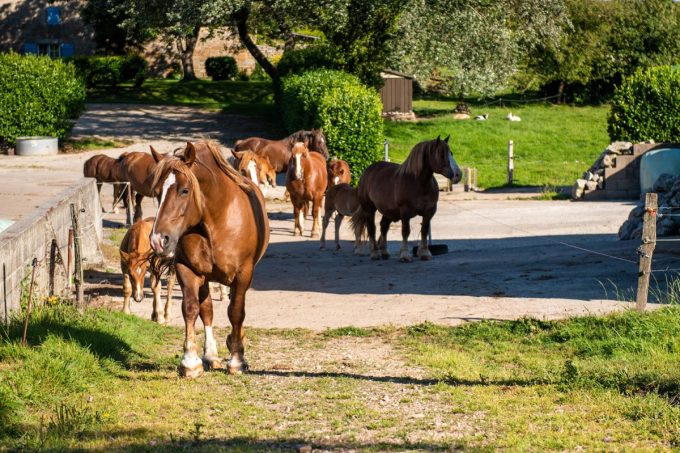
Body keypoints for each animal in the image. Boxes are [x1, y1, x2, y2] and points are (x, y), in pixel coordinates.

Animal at [149, 141, 269, 377]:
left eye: (184, 190)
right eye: (157, 193)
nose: (159, 240)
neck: (216, 221)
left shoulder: (243, 274)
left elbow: (236, 312)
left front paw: (237, 360)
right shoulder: (187, 269)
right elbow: (191, 309)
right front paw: (190, 361)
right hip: (204, 277)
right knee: (207, 311)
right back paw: (210, 355)